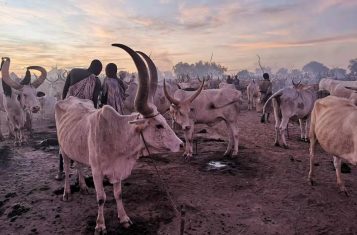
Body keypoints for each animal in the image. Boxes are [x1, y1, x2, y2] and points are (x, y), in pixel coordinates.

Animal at [57, 44, 184, 233]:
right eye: (158, 125)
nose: (181, 144)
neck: (117, 136)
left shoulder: (117, 170)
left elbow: (118, 194)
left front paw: (124, 218)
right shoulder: (97, 171)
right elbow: (101, 198)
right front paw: (100, 225)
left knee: (78, 164)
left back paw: (83, 186)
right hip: (63, 148)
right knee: (66, 167)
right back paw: (66, 192)